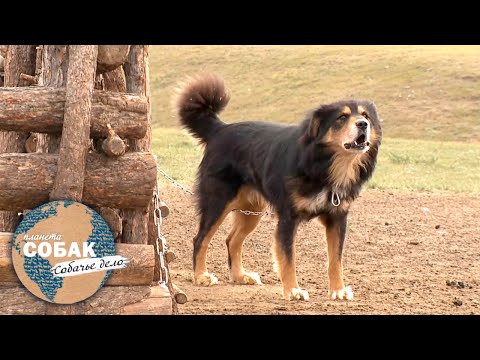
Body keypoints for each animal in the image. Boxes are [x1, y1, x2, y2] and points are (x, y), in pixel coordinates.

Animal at [174, 74, 380, 302]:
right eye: (341, 118)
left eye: (365, 116)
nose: (363, 124)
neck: (324, 163)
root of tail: (220, 129)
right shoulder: (288, 217)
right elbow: (288, 258)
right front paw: (293, 290)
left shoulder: (337, 217)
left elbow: (336, 260)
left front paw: (338, 290)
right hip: (218, 201)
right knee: (200, 239)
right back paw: (201, 276)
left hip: (252, 209)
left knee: (232, 240)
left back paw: (240, 276)